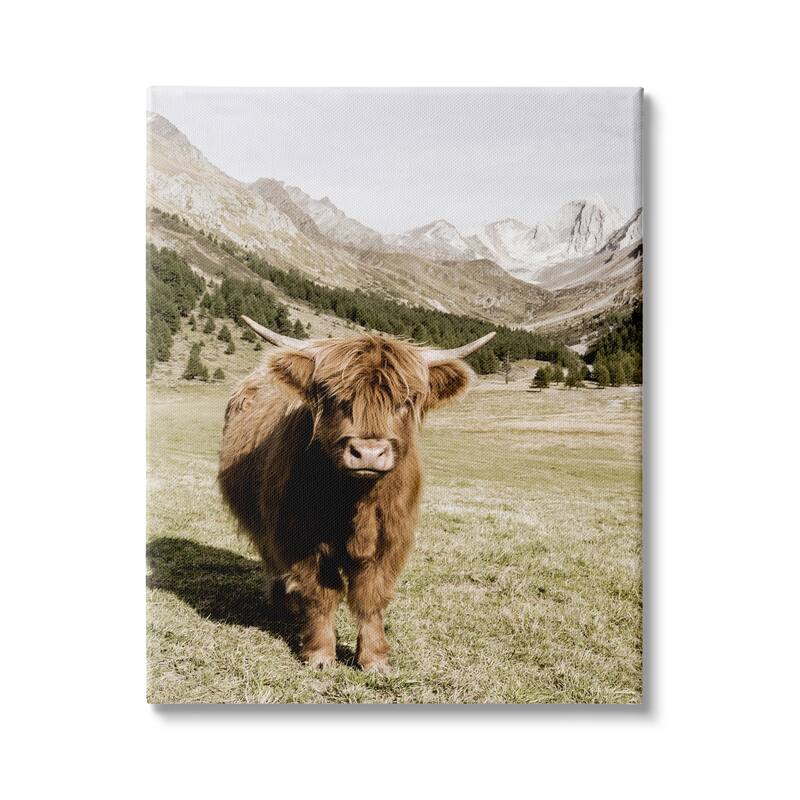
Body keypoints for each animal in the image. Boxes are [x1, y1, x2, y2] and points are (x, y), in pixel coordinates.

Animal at [218, 316, 495, 672]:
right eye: (335, 397)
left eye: (405, 401)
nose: (368, 452)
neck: (356, 502)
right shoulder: (299, 537)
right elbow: (321, 593)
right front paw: (320, 655)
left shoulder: (391, 539)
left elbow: (371, 596)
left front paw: (374, 658)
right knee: (273, 562)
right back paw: (283, 606)